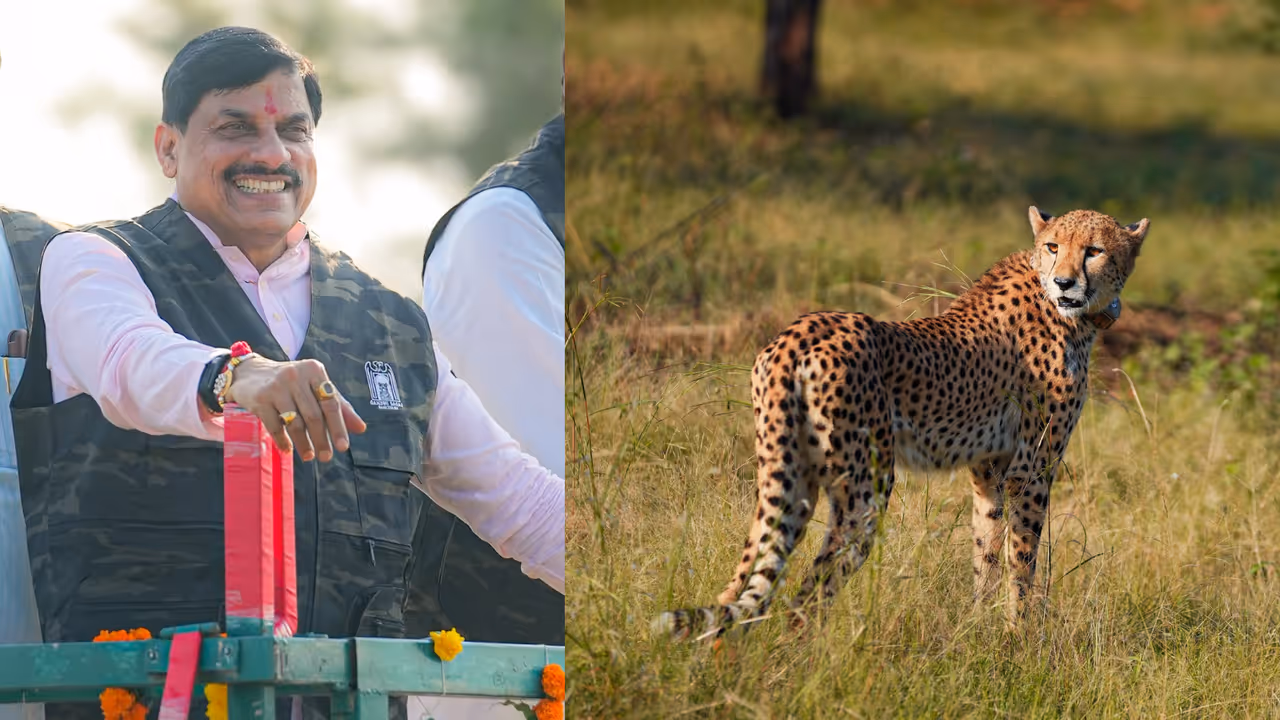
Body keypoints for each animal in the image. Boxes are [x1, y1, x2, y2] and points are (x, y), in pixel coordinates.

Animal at [656, 206, 1150, 640]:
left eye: (1094, 250)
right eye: (1053, 246)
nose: (1065, 282)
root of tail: (801, 331)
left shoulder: (989, 472)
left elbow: (986, 552)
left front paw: (978, 630)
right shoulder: (1030, 471)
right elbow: (1023, 562)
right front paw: (1022, 638)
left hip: (788, 480)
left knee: (743, 586)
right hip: (866, 489)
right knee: (805, 599)